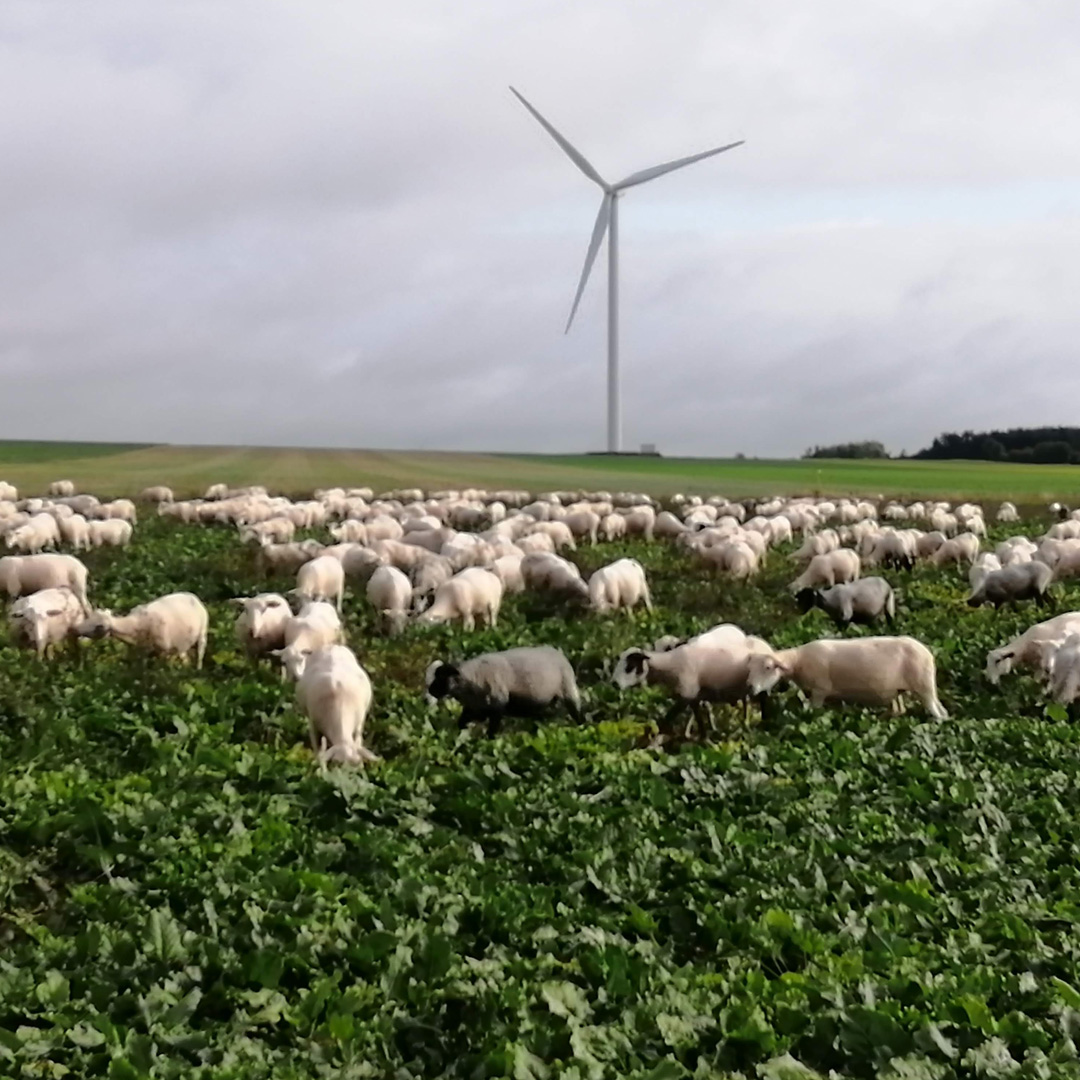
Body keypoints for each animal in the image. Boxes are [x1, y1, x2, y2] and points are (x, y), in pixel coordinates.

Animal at [77, 591, 207, 665]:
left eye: (98, 626)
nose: (77, 629)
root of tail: (194, 597)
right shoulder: (142, 651)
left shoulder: (164, 651)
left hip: (203, 634)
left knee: (200, 655)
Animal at [425, 643, 587, 738]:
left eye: (442, 677)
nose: (431, 691)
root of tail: (557, 651)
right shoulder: (477, 708)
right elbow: (461, 722)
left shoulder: (497, 705)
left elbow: (492, 731)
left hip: (568, 689)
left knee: (576, 712)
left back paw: (581, 728)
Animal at [747, 635, 950, 721]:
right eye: (749, 668)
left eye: (767, 668)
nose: (750, 687)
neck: (799, 660)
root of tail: (928, 653)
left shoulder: (820, 691)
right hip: (905, 690)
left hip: (924, 686)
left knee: (937, 712)